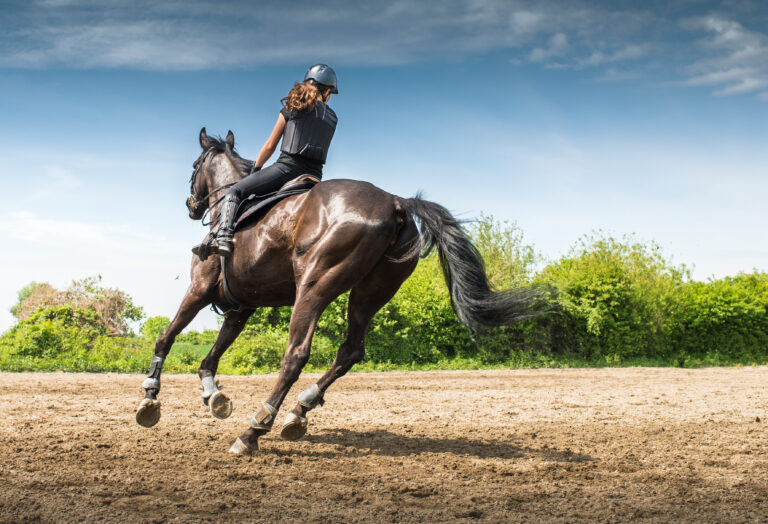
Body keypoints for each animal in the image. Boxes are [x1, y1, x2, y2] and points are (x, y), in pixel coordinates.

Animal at [135, 128, 546, 455]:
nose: (192, 206)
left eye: (194, 165)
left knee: (296, 355)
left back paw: (254, 430)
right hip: (369, 294)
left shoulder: (199, 290)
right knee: (350, 351)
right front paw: (213, 395)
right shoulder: (241, 307)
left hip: (315, 287)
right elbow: (211, 357)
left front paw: (150, 398)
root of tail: (395, 201)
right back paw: (298, 412)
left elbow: (166, 337)